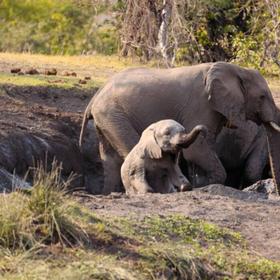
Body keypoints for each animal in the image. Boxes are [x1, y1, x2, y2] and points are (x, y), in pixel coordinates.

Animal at [79, 61, 280, 195]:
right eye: (262, 97)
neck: (236, 69)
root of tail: (96, 96)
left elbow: (199, 149)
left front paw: (199, 184)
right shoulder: (201, 105)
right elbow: (197, 149)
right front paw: (204, 186)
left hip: (106, 119)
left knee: (110, 159)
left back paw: (110, 194)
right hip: (113, 114)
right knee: (131, 148)